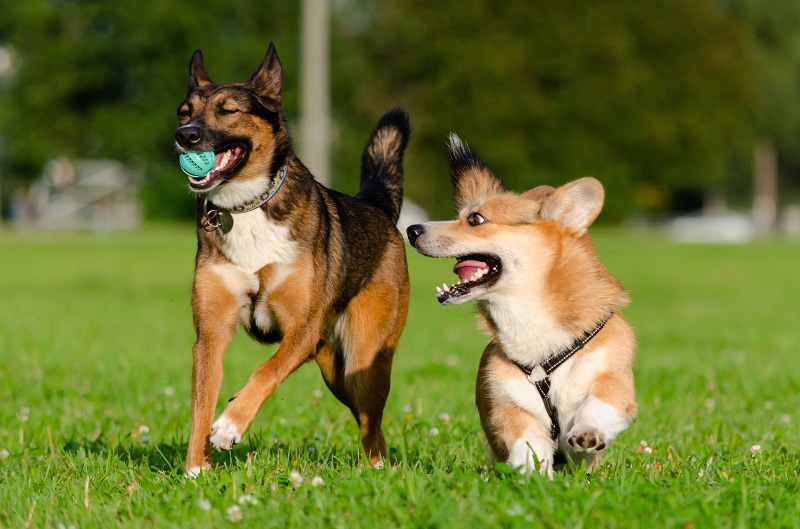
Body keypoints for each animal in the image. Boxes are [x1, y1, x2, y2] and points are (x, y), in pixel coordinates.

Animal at [176, 43, 412, 476]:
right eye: (185, 111)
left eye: (228, 110)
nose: (185, 136)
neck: (246, 207)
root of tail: (376, 205)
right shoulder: (211, 334)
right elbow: (201, 405)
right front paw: (195, 468)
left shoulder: (302, 330)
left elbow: (266, 371)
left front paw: (230, 425)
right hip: (334, 371)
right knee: (366, 419)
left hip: (364, 362)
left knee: (372, 425)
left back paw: (376, 471)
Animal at [406, 135, 636, 474]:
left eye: (475, 219)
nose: (411, 230)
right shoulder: (507, 402)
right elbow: (526, 439)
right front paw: (535, 473)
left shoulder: (613, 379)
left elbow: (599, 403)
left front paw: (587, 432)